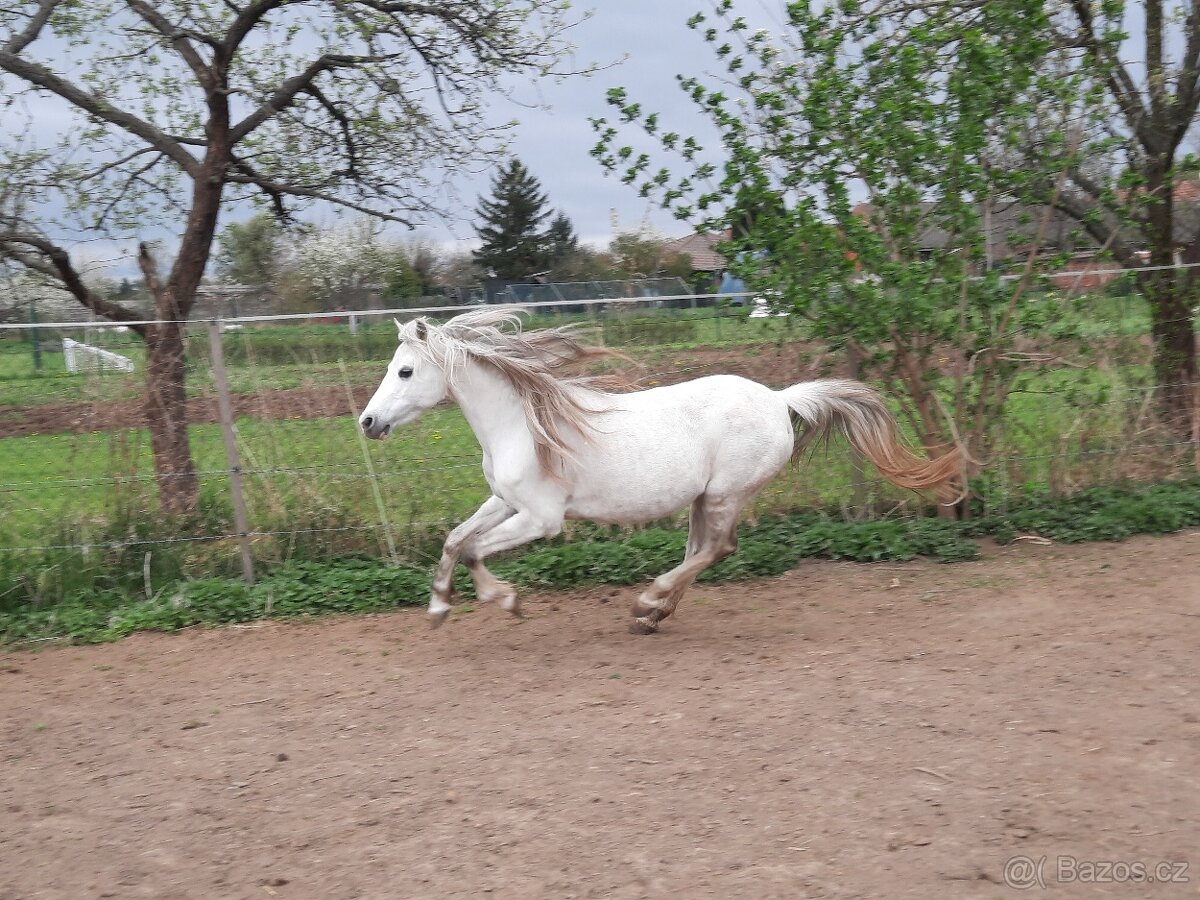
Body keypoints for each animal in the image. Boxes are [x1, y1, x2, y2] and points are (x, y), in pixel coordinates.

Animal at [359, 308, 961, 634]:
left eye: (405, 371)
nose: (366, 422)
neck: (522, 425)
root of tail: (779, 398)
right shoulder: (505, 502)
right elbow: (454, 539)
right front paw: (438, 607)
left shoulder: (541, 519)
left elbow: (475, 551)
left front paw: (504, 599)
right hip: (701, 498)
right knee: (702, 551)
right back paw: (653, 613)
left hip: (725, 494)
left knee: (718, 549)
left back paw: (648, 601)